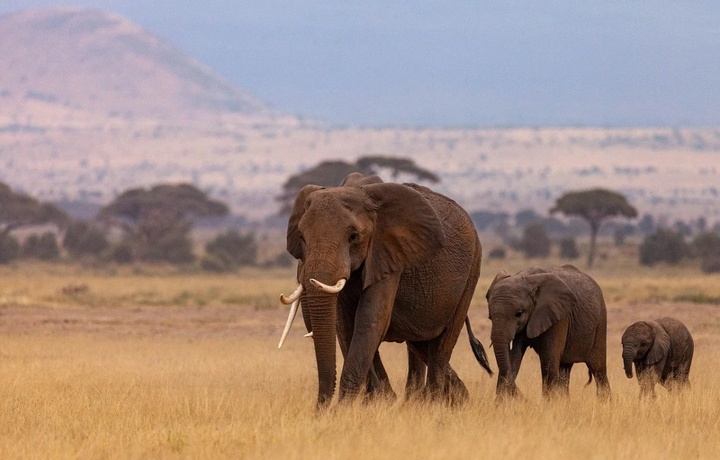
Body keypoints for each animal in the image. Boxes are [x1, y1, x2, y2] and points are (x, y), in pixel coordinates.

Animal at [278, 174, 492, 408]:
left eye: (353, 236)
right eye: (302, 237)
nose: (320, 409)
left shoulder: (389, 254)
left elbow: (370, 320)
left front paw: (345, 409)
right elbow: (345, 326)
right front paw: (377, 402)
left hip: (472, 269)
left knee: (441, 346)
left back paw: (432, 403)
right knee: (420, 343)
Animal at [486, 266, 612, 398]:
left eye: (519, 313)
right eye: (490, 317)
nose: (525, 398)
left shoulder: (559, 317)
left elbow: (549, 362)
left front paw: (549, 403)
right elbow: (512, 358)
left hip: (600, 321)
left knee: (598, 369)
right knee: (564, 370)